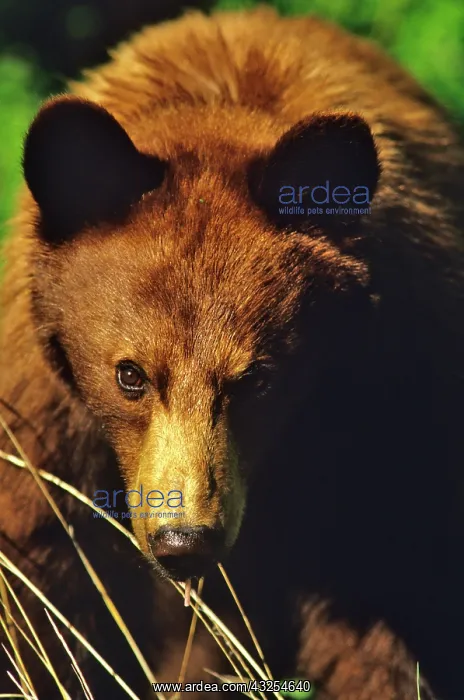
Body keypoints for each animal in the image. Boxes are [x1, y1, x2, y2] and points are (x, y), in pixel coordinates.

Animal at [0, 5, 463, 699]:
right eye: (129, 375)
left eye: (259, 380)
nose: (184, 540)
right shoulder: (43, 427)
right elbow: (36, 589)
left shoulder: (389, 407)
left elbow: (395, 612)